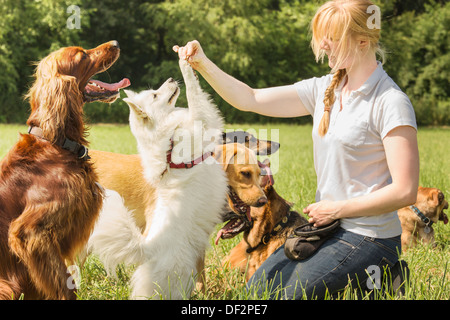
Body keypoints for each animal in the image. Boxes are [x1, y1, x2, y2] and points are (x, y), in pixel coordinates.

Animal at [0, 40, 130, 300]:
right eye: (82, 56)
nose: (116, 43)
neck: (55, 142)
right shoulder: (30, 234)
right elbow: (65, 286)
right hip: (5, 286)